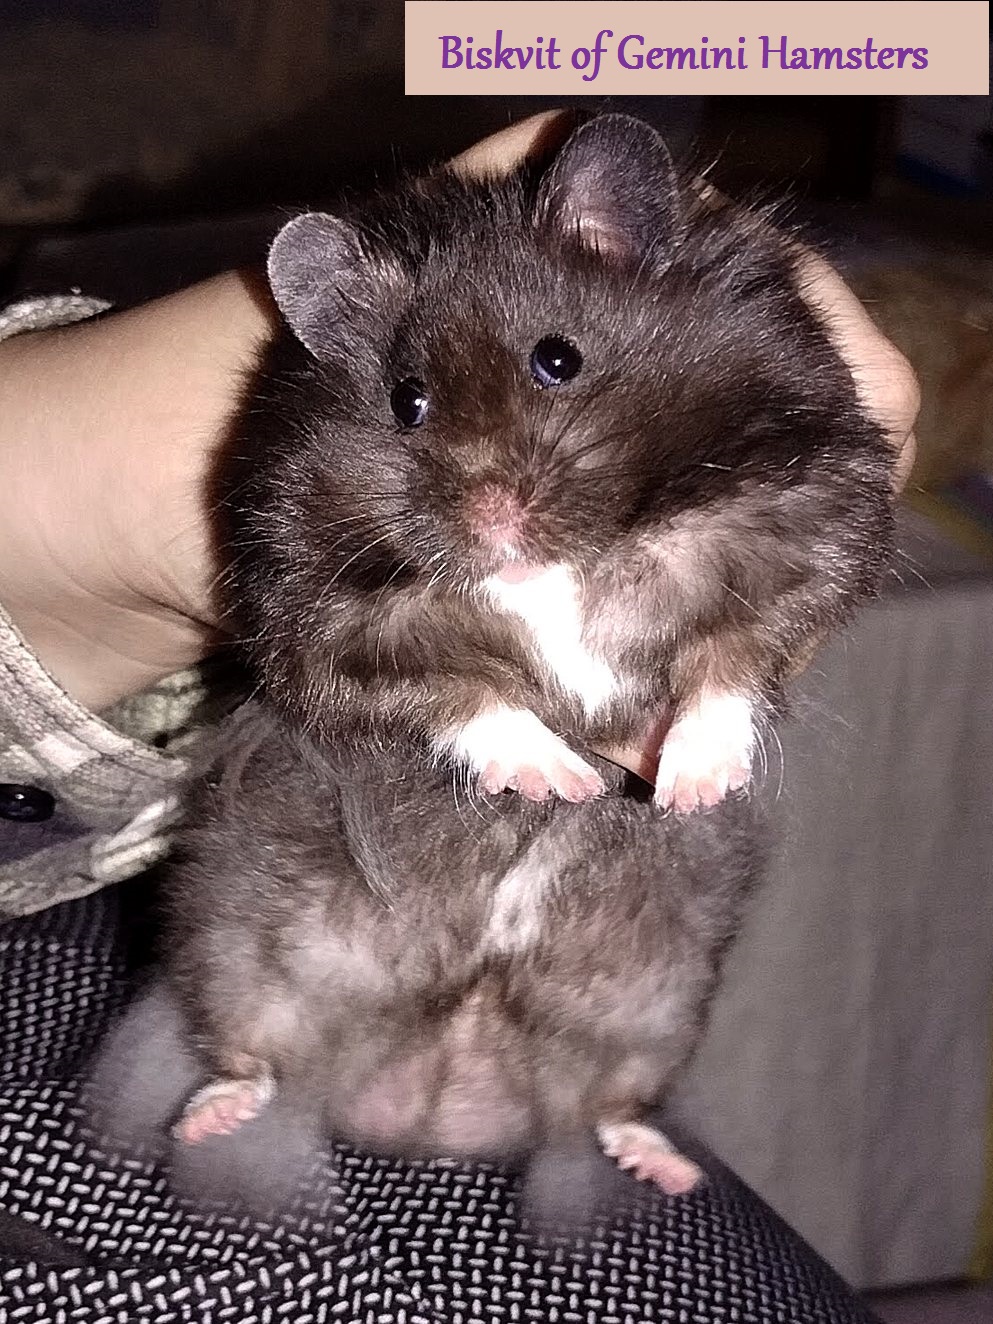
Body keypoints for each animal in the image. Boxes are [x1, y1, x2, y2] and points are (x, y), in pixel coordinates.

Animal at [89, 113, 895, 1210]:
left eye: (558, 358)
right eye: (406, 401)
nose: (492, 527)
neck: (550, 562)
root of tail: (439, 1110)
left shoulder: (809, 515)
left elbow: (729, 660)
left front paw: (692, 783)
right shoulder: (316, 609)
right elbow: (461, 693)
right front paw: (557, 780)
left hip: (656, 1002)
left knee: (603, 1104)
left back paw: (664, 1167)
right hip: (235, 951)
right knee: (261, 1060)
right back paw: (213, 1116)